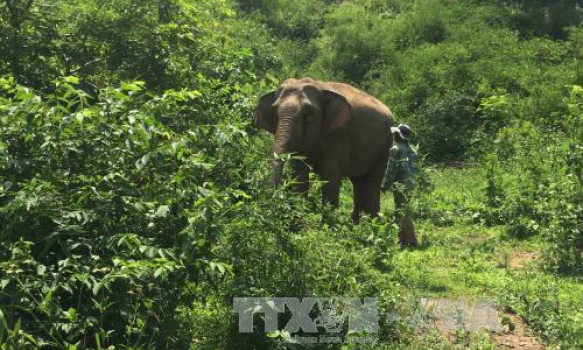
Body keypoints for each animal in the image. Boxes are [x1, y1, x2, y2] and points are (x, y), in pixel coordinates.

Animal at [254, 77, 394, 220]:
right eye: (274, 110)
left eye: (308, 114)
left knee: (372, 183)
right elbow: (299, 175)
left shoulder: (338, 135)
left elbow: (330, 178)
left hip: (386, 144)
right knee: (359, 181)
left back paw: (373, 222)